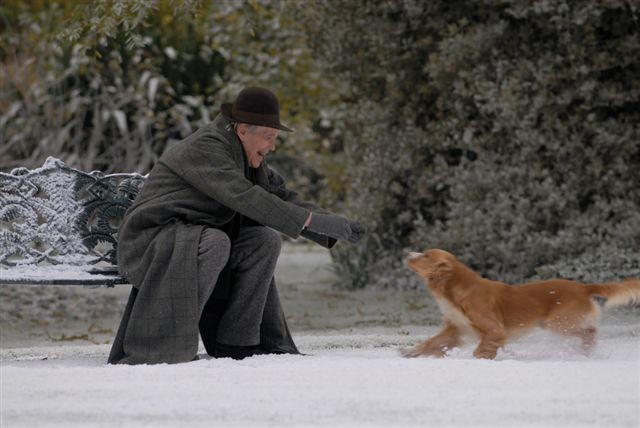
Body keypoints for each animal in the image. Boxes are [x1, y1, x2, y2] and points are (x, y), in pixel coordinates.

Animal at [402, 249, 636, 360]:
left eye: (426, 255)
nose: (407, 253)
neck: (456, 289)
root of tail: (583, 287)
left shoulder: (494, 328)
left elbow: (484, 347)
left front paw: (479, 358)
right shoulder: (457, 328)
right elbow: (432, 342)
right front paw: (410, 352)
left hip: (558, 322)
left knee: (590, 331)